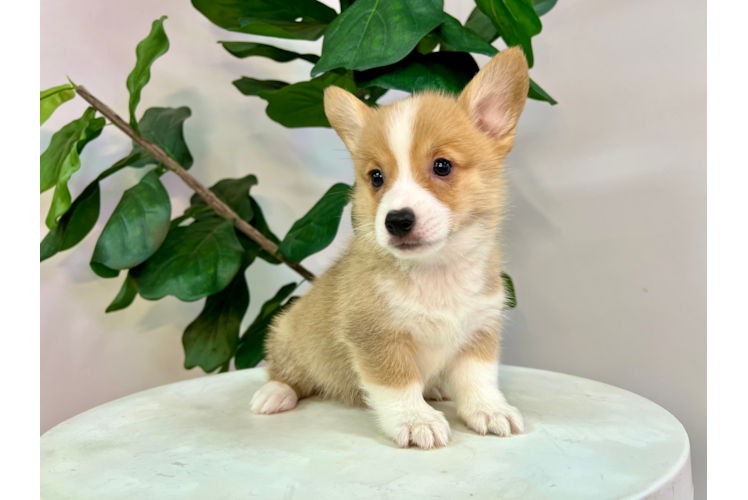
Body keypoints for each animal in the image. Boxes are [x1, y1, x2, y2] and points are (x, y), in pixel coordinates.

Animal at [248, 47, 528, 450]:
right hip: (289, 336)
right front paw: (415, 420)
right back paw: (274, 394)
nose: (396, 221)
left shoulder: (480, 329)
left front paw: (489, 410)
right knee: (286, 373)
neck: (436, 271)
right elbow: (398, 383)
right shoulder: (375, 335)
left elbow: (479, 378)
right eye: (376, 177)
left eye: (442, 166)